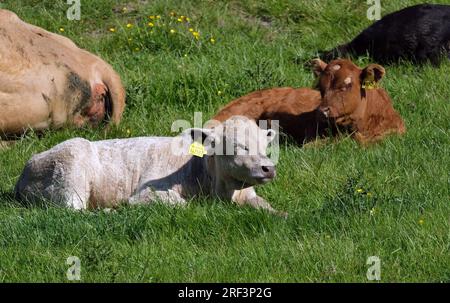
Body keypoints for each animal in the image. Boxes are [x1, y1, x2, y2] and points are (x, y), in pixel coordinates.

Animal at [15, 115, 286, 217]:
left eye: (265, 147)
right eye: (238, 146)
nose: (268, 168)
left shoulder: (248, 194)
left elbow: (265, 205)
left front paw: (281, 214)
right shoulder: (147, 192)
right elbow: (180, 204)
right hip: (70, 174)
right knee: (73, 211)